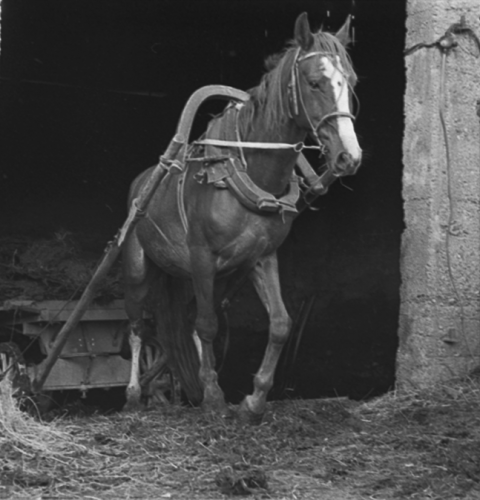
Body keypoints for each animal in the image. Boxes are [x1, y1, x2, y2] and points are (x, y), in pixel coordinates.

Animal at [122, 11, 362, 422]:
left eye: (351, 82)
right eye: (314, 82)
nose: (349, 156)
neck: (247, 171)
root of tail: (143, 181)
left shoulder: (261, 257)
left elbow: (279, 323)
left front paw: (254, 400)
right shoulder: (202, 257)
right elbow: (206, 326)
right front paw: (213, 395)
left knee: (180, 323)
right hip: (139, 268)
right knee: (138, 325)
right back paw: (136, 393)